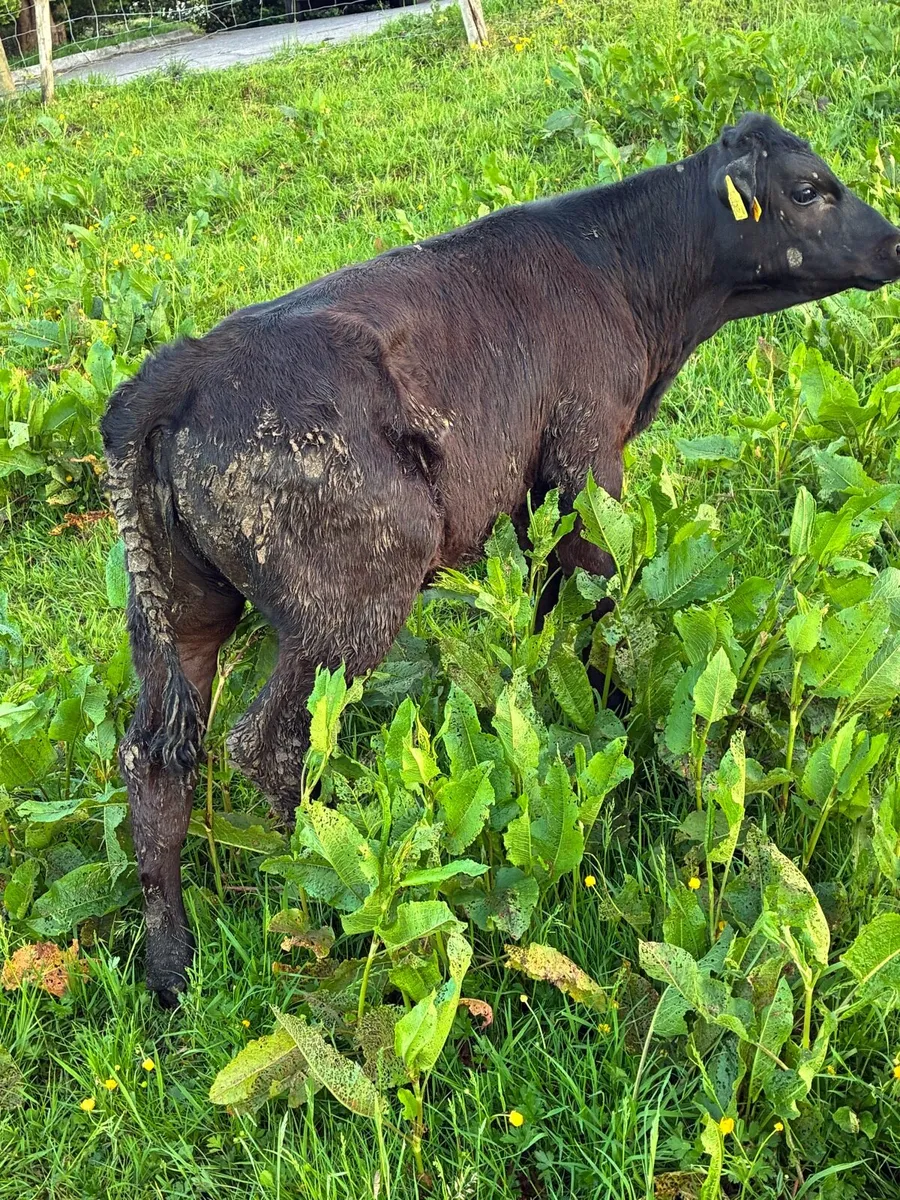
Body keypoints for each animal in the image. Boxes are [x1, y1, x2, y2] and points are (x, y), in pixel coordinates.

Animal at [101, 113, 900, 1004]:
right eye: (808, 188)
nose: (896, 243)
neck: (627, 275)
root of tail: (178, 371)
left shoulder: (531, 494)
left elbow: (552, 611)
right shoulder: (587, 459)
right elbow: (600, 602)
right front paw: (611, 719)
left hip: (179, 610)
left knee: (153, 755)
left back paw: (171, 962)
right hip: (351, 600)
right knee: (269, 743)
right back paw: (331, 873)